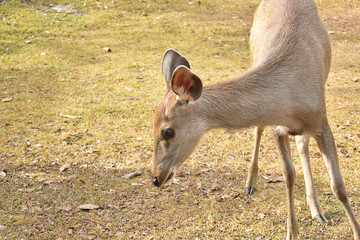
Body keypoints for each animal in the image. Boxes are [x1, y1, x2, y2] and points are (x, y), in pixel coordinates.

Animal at [151, 0, 360, 238]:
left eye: (167, 131)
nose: (156, 177)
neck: (289, 99)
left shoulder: (322, 122)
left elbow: (338, 187)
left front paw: (355, 231)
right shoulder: (277, 127)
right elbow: (288, 175)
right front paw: (291, 232)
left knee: (301, 144)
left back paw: (317, 210)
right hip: (253, 56)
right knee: (260, 130)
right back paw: (251, 182)